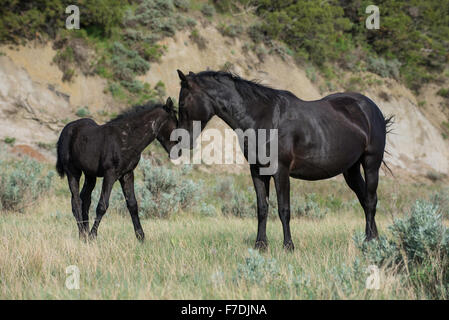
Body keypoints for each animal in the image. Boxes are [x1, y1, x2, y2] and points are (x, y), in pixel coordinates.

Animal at [57, 97, 178, 240]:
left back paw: (84, 234)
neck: (126, 138)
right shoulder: (110, 174)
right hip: (73, 172)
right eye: (175, 125)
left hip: (90, 175)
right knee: (76, 202)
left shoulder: (127, 174)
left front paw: (141, 237)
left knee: (84, 200)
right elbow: (102, 205)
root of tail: (65, 130)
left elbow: (132, 205)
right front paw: (93, 236)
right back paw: (83, 234)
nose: (178, 152)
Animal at [173, 69, 390, 250]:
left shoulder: (280, 171)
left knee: (371, 200)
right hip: (351, 170)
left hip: (371, 164)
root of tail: (372, 108)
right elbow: (262, 208)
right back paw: (373, 239)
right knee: (364, 199)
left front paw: (288, 246)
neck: (264, 118)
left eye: (182, 104)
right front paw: (260, 245)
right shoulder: (258, 171)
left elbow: (284, 209)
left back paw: (369, 241)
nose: (182, 140)